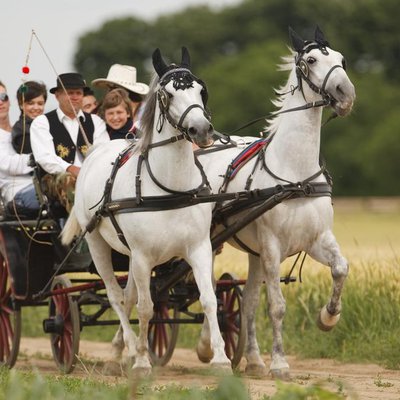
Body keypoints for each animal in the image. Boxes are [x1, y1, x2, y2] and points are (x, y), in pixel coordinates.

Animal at [61, 47, 231, 376]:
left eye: (200, 89)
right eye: (167, 94)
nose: (202, 130)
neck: (170, 190)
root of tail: (96, 152)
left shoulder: (199, 248)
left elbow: (209, 300)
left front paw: (220, 358)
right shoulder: (142, 256)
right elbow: (146, 307)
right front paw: (141, 360)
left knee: (127, 296)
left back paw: (118, 352)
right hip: (98, 245)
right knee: (116, 296)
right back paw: (127, 349)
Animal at [195, 27, 354, 378]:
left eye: (341, 58)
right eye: (311, 60)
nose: (346, 93)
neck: (295, 175)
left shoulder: (316, 239)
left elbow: (341, 268)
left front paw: (328, 316)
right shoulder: (272, 247)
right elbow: (277, 306)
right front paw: (280, 362)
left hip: (251, 254)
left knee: (248, 302)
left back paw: (253, 360)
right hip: (210, 242)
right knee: (202, 286)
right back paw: (206, 346)